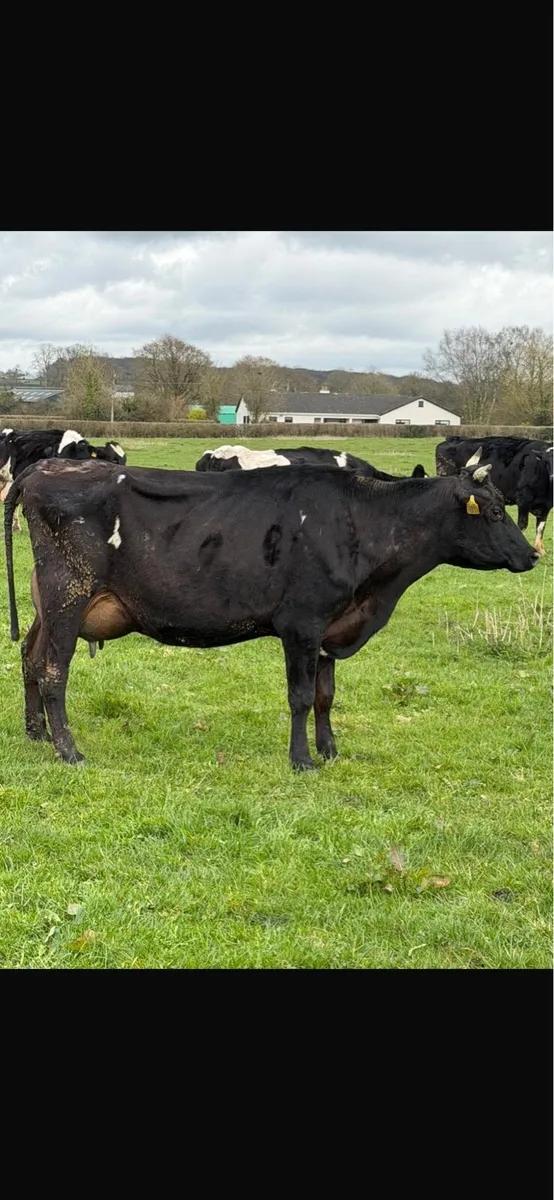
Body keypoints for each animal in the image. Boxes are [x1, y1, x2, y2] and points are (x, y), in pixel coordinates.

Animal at [4, 456, 538, 769]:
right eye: (494, 513)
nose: (533, 555)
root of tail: (46, 467)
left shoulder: (330, 629)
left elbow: (325, 696)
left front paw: (330, 751)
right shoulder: (302, 623)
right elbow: (300, 697)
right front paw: (302, 760)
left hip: (46, 603)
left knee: (30, 658)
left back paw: (36, 734)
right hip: (68, 595)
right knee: (54, 671)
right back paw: (68, 749)